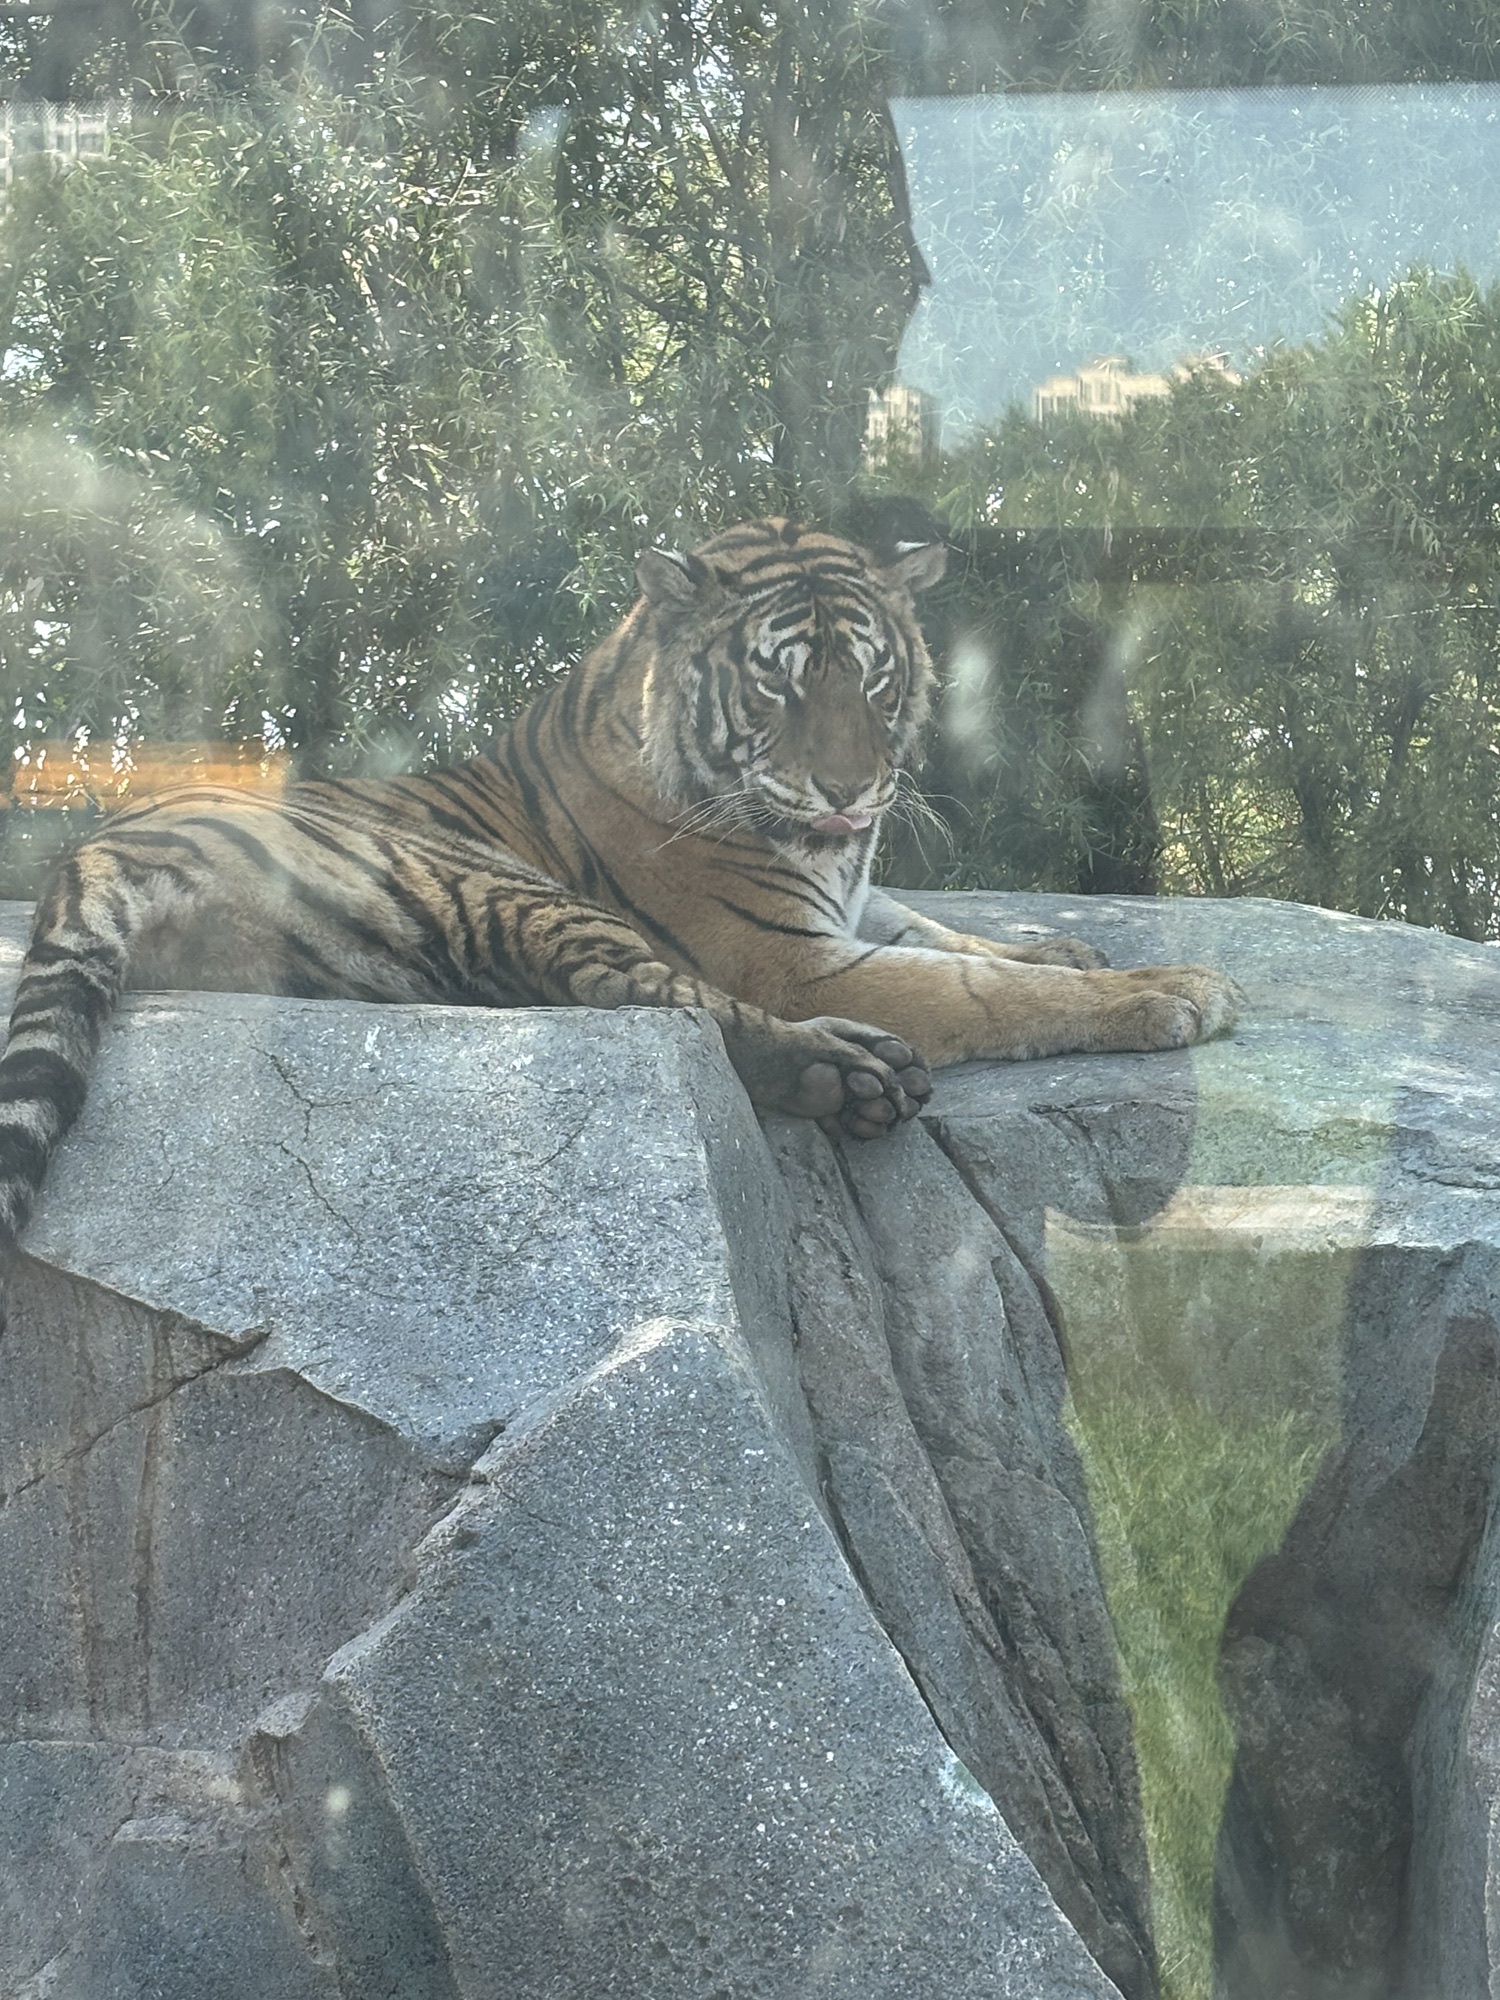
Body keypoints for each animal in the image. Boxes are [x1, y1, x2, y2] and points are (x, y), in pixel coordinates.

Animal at [0, 516, 1239, 1259]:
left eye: (877, 677)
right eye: (780, 684)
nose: (851, 787)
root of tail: (98, 849)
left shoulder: (856, 900)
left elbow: (958, 936)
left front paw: (1072, 946)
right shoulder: (788, 950)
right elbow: (978, 989)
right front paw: (1170, 988)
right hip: (501, 883)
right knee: (664, 1003)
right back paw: (848, 1071)